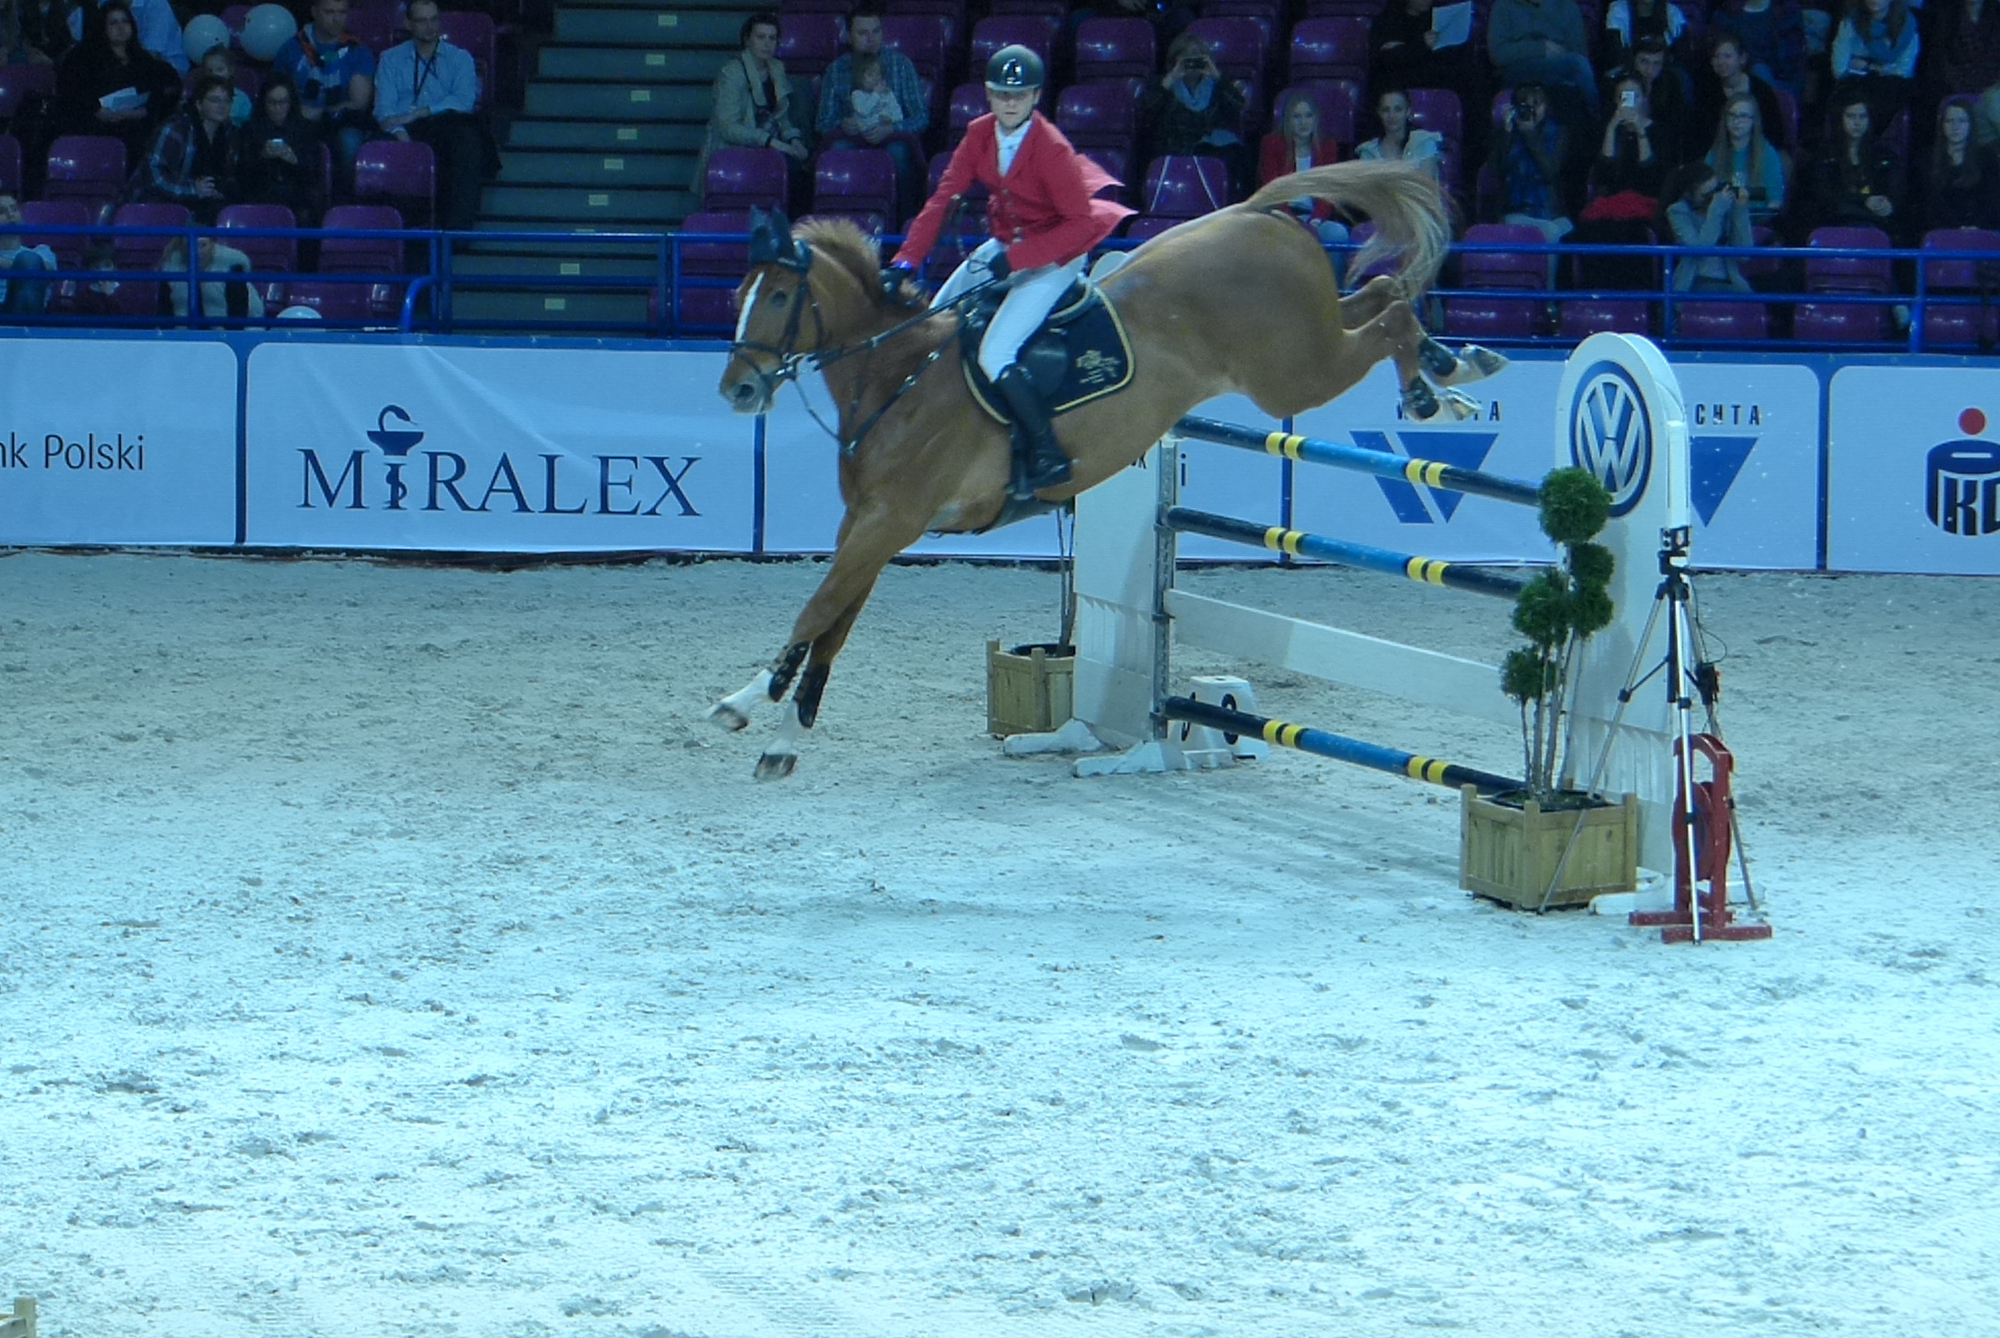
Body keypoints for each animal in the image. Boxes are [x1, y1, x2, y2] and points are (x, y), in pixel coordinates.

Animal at [710, 160, 1506, 780]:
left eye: (777, 296)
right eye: (736, 294)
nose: (738, 391)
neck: (896, 380)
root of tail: (1250, 211)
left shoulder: (888, 523)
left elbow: (815, 613)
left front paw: (742, 705)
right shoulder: (869, 527)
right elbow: (831, 628)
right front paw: (783, 737)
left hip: (1294, 374)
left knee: (1389, 313)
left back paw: (1439, 382)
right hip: (1309, 341)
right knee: (1379, 297)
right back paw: (1451, 371)